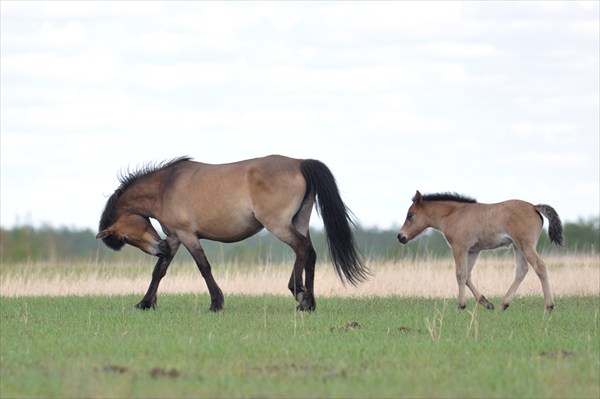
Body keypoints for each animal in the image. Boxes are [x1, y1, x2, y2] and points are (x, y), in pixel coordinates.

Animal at [96, 155, 368, 312]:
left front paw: (216, 303)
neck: (166, 185)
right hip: (298, 222)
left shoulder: (187, 235)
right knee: (307, 254)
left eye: (125, 238)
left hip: (279, 225)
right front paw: (145, 303)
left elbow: (204, 267)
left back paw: (301, 296)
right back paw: (306, 299)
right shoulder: (173, 237)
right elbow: (159, 271)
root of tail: (300, 162)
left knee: (303, 249)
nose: (158, 248)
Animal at [398, 191, 564, 312]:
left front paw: (461, 306)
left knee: (540, 266)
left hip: (525, 245)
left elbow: (460, 275)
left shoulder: (459, 248)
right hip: (518, 247)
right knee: (521, 270)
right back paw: (503, 304)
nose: (400, 237)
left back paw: (548, 306)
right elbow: (467, 276)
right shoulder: (473, 251)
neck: (453, 214)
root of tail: (534, 207)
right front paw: (487, 303)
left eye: (410, 215)